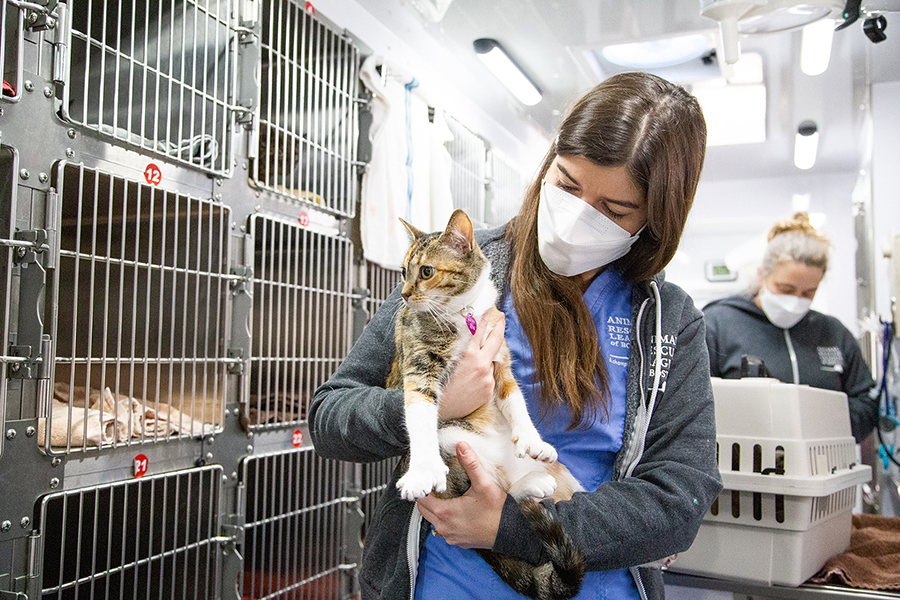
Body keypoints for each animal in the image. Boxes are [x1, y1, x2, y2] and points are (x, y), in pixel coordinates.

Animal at [388, 210, 588, 600]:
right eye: (403, 271)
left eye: (426, 271)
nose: (403, 295)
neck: (460, 312)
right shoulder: (419, 365)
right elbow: (419, 413)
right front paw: (422, 471)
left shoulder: (500, 359)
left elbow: (514, 398)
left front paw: (531, 438)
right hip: (454, 440)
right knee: (496, 488)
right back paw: (526, 486)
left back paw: (535, 479)